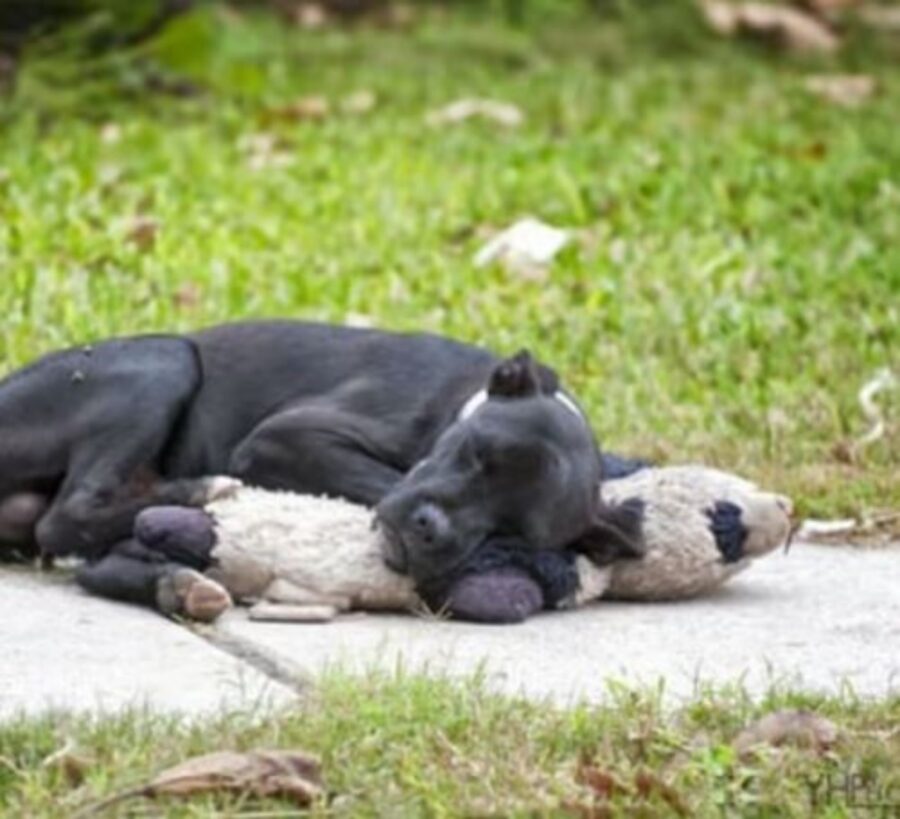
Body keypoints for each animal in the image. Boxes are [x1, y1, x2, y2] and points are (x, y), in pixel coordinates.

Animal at [0, 320, 648, 608]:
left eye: (514, 530)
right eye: (474, 453)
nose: (429, 532)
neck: (459, 402)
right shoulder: (286, 437)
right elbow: (382, 479)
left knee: (85, 545)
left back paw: (176, 580)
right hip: (165, 359)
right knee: (68, 517)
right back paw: (200, 493)